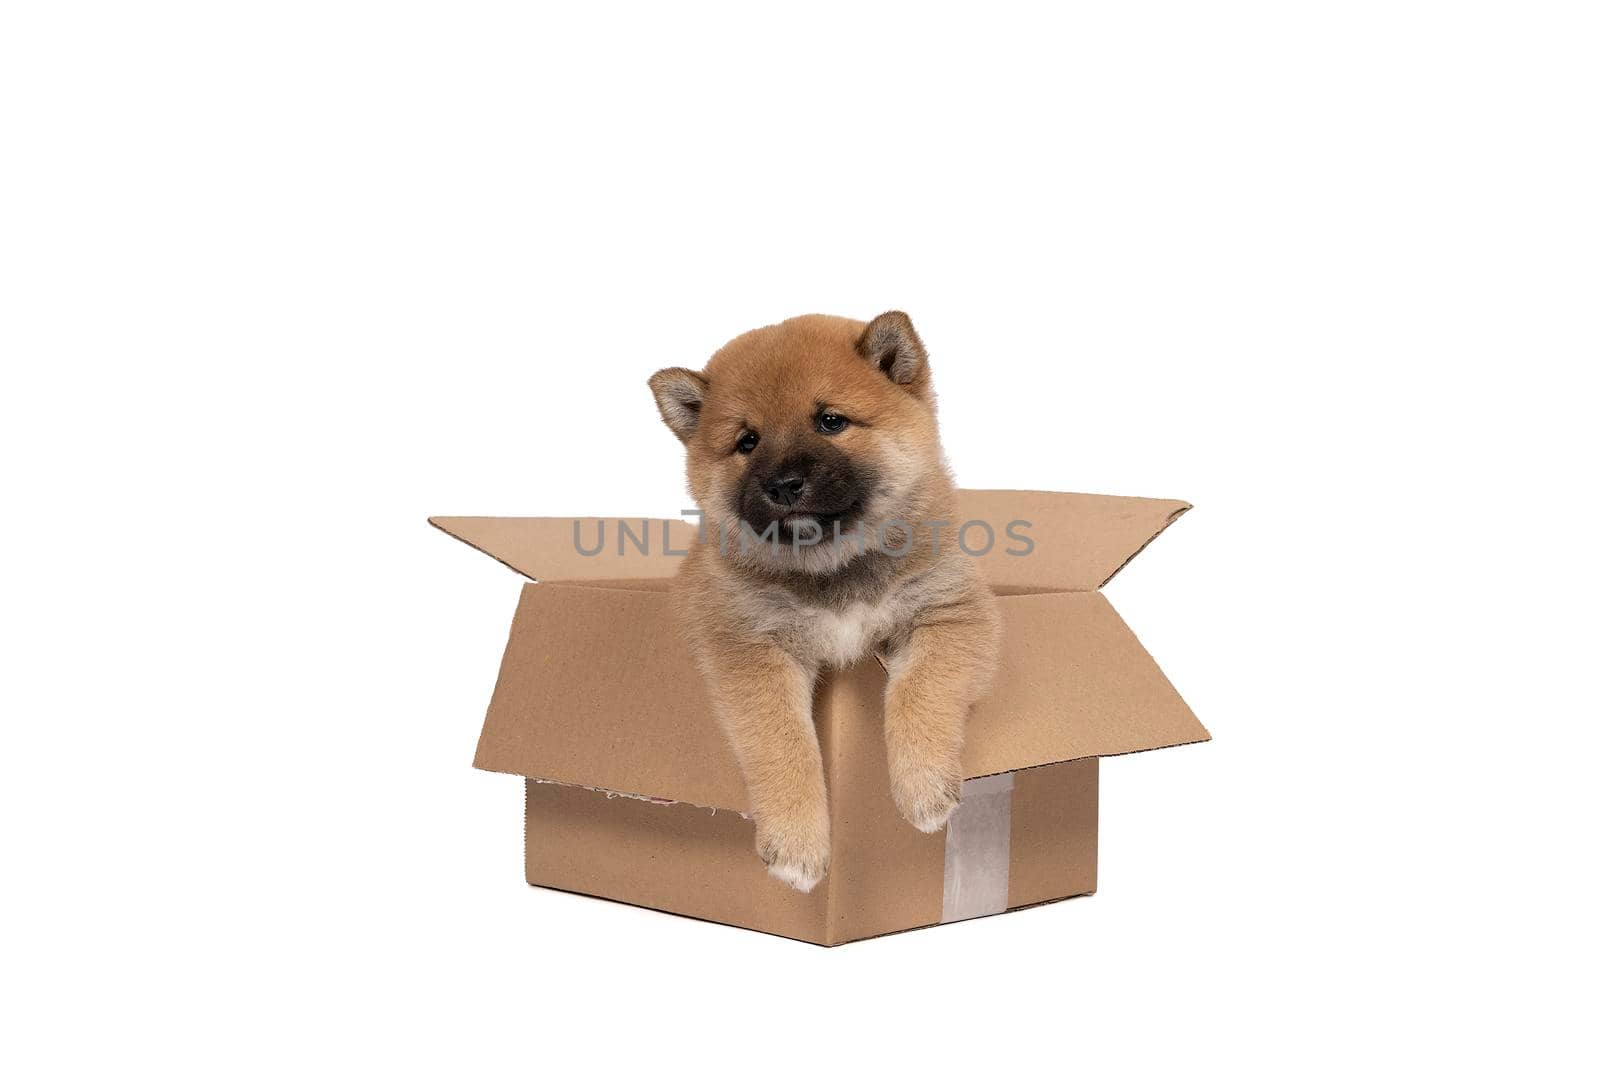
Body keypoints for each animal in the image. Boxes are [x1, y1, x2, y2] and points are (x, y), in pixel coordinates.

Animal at [649, 310, 998, 895]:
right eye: (747, 441)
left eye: (831, 421)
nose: (783, 484)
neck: (833, 567)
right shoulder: (750, 650)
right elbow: (784, 743)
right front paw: (797, 845)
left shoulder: (951, 612)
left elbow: (918, 693)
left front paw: (924, 789)